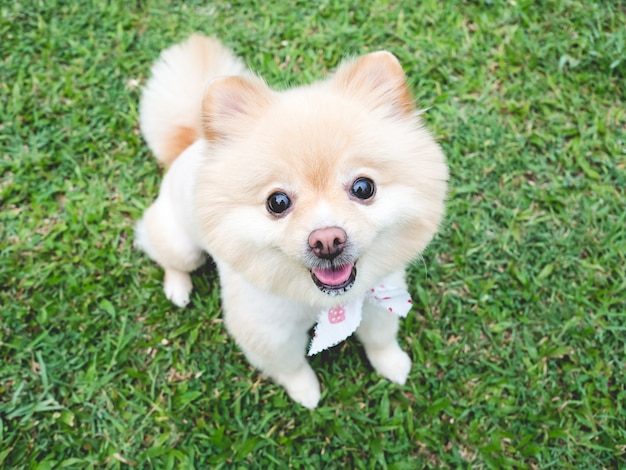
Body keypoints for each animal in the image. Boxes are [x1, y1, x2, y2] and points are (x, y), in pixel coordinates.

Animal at [135, 34, 448, 408]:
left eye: (363, 187)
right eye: (278, 202)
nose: (327, 240)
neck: (324, 302)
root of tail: (191, 141)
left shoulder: (379, 299)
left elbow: (380, 338)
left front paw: (392, 364)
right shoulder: (268, 332)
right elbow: (291, 367)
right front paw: (306, 393)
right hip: (181, 245)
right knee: (168, 258)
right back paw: (178, 288)